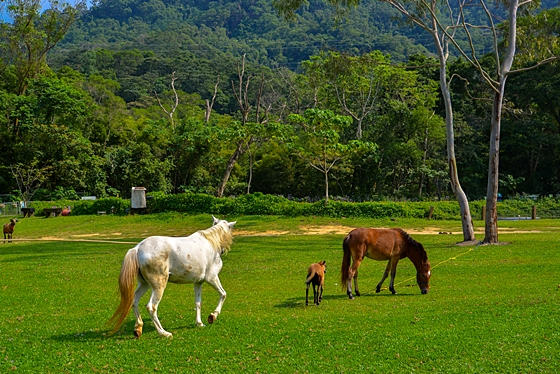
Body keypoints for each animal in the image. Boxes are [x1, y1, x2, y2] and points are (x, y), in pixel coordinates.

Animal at [107, 215, 236, 338]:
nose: (223, 250)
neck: (211, 243)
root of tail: (137, 248)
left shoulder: (198, 283)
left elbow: (198, 303)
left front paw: (199, 323)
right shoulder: (212, 278)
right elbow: (223, 294)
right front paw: (212, 316)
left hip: (145, 284)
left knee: (134, 300)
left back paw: (138, 328)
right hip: (158, 286)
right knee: (151, 307)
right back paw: (164, 333)